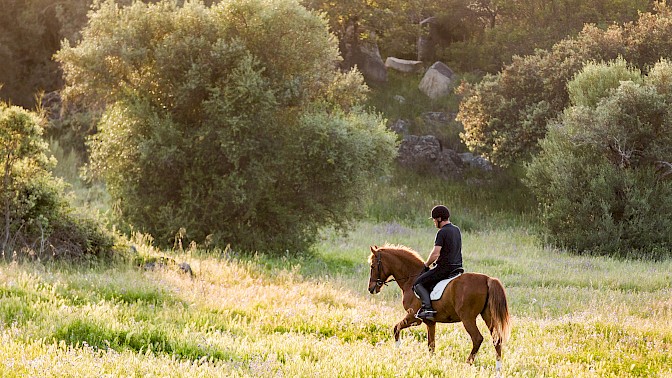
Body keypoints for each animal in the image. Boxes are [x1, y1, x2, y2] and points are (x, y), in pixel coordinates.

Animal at [368, 244, 510, 370]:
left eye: (372, 266)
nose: (371, 288)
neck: (410, 278)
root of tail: (487, 279)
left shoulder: (414, 317)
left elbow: (396, 328)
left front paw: (398, 349)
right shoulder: (430, 322)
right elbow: (431, 345)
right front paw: (431, 362)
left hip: (467, 318)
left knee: (477, 339)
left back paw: (467, 363)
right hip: (487, 316)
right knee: (497, 339)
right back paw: (498, 368)